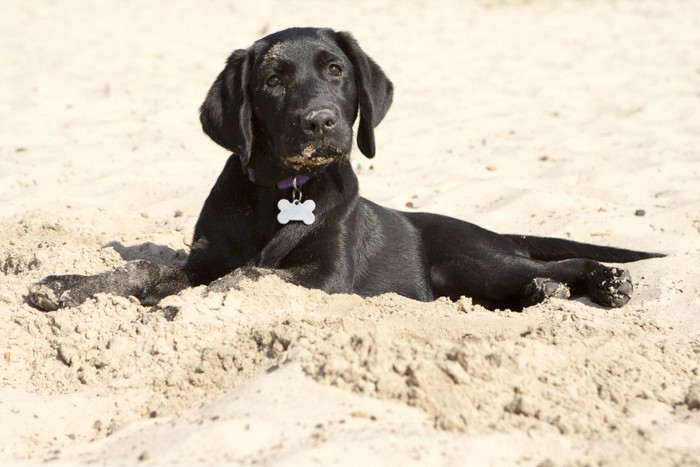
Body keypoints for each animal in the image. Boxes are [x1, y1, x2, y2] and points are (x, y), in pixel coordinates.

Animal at [27, 27, 660, 312]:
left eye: (336, 70)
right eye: (273, 79)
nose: (321, 123)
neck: (283, 191)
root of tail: (490, 230)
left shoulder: (328, 276)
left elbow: (251, 275)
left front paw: (188, 305)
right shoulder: (203, 260)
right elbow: (142, 271)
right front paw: (68, 287)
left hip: (467, 257)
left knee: (559, 260)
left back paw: (604, 281)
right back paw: (542, 290)